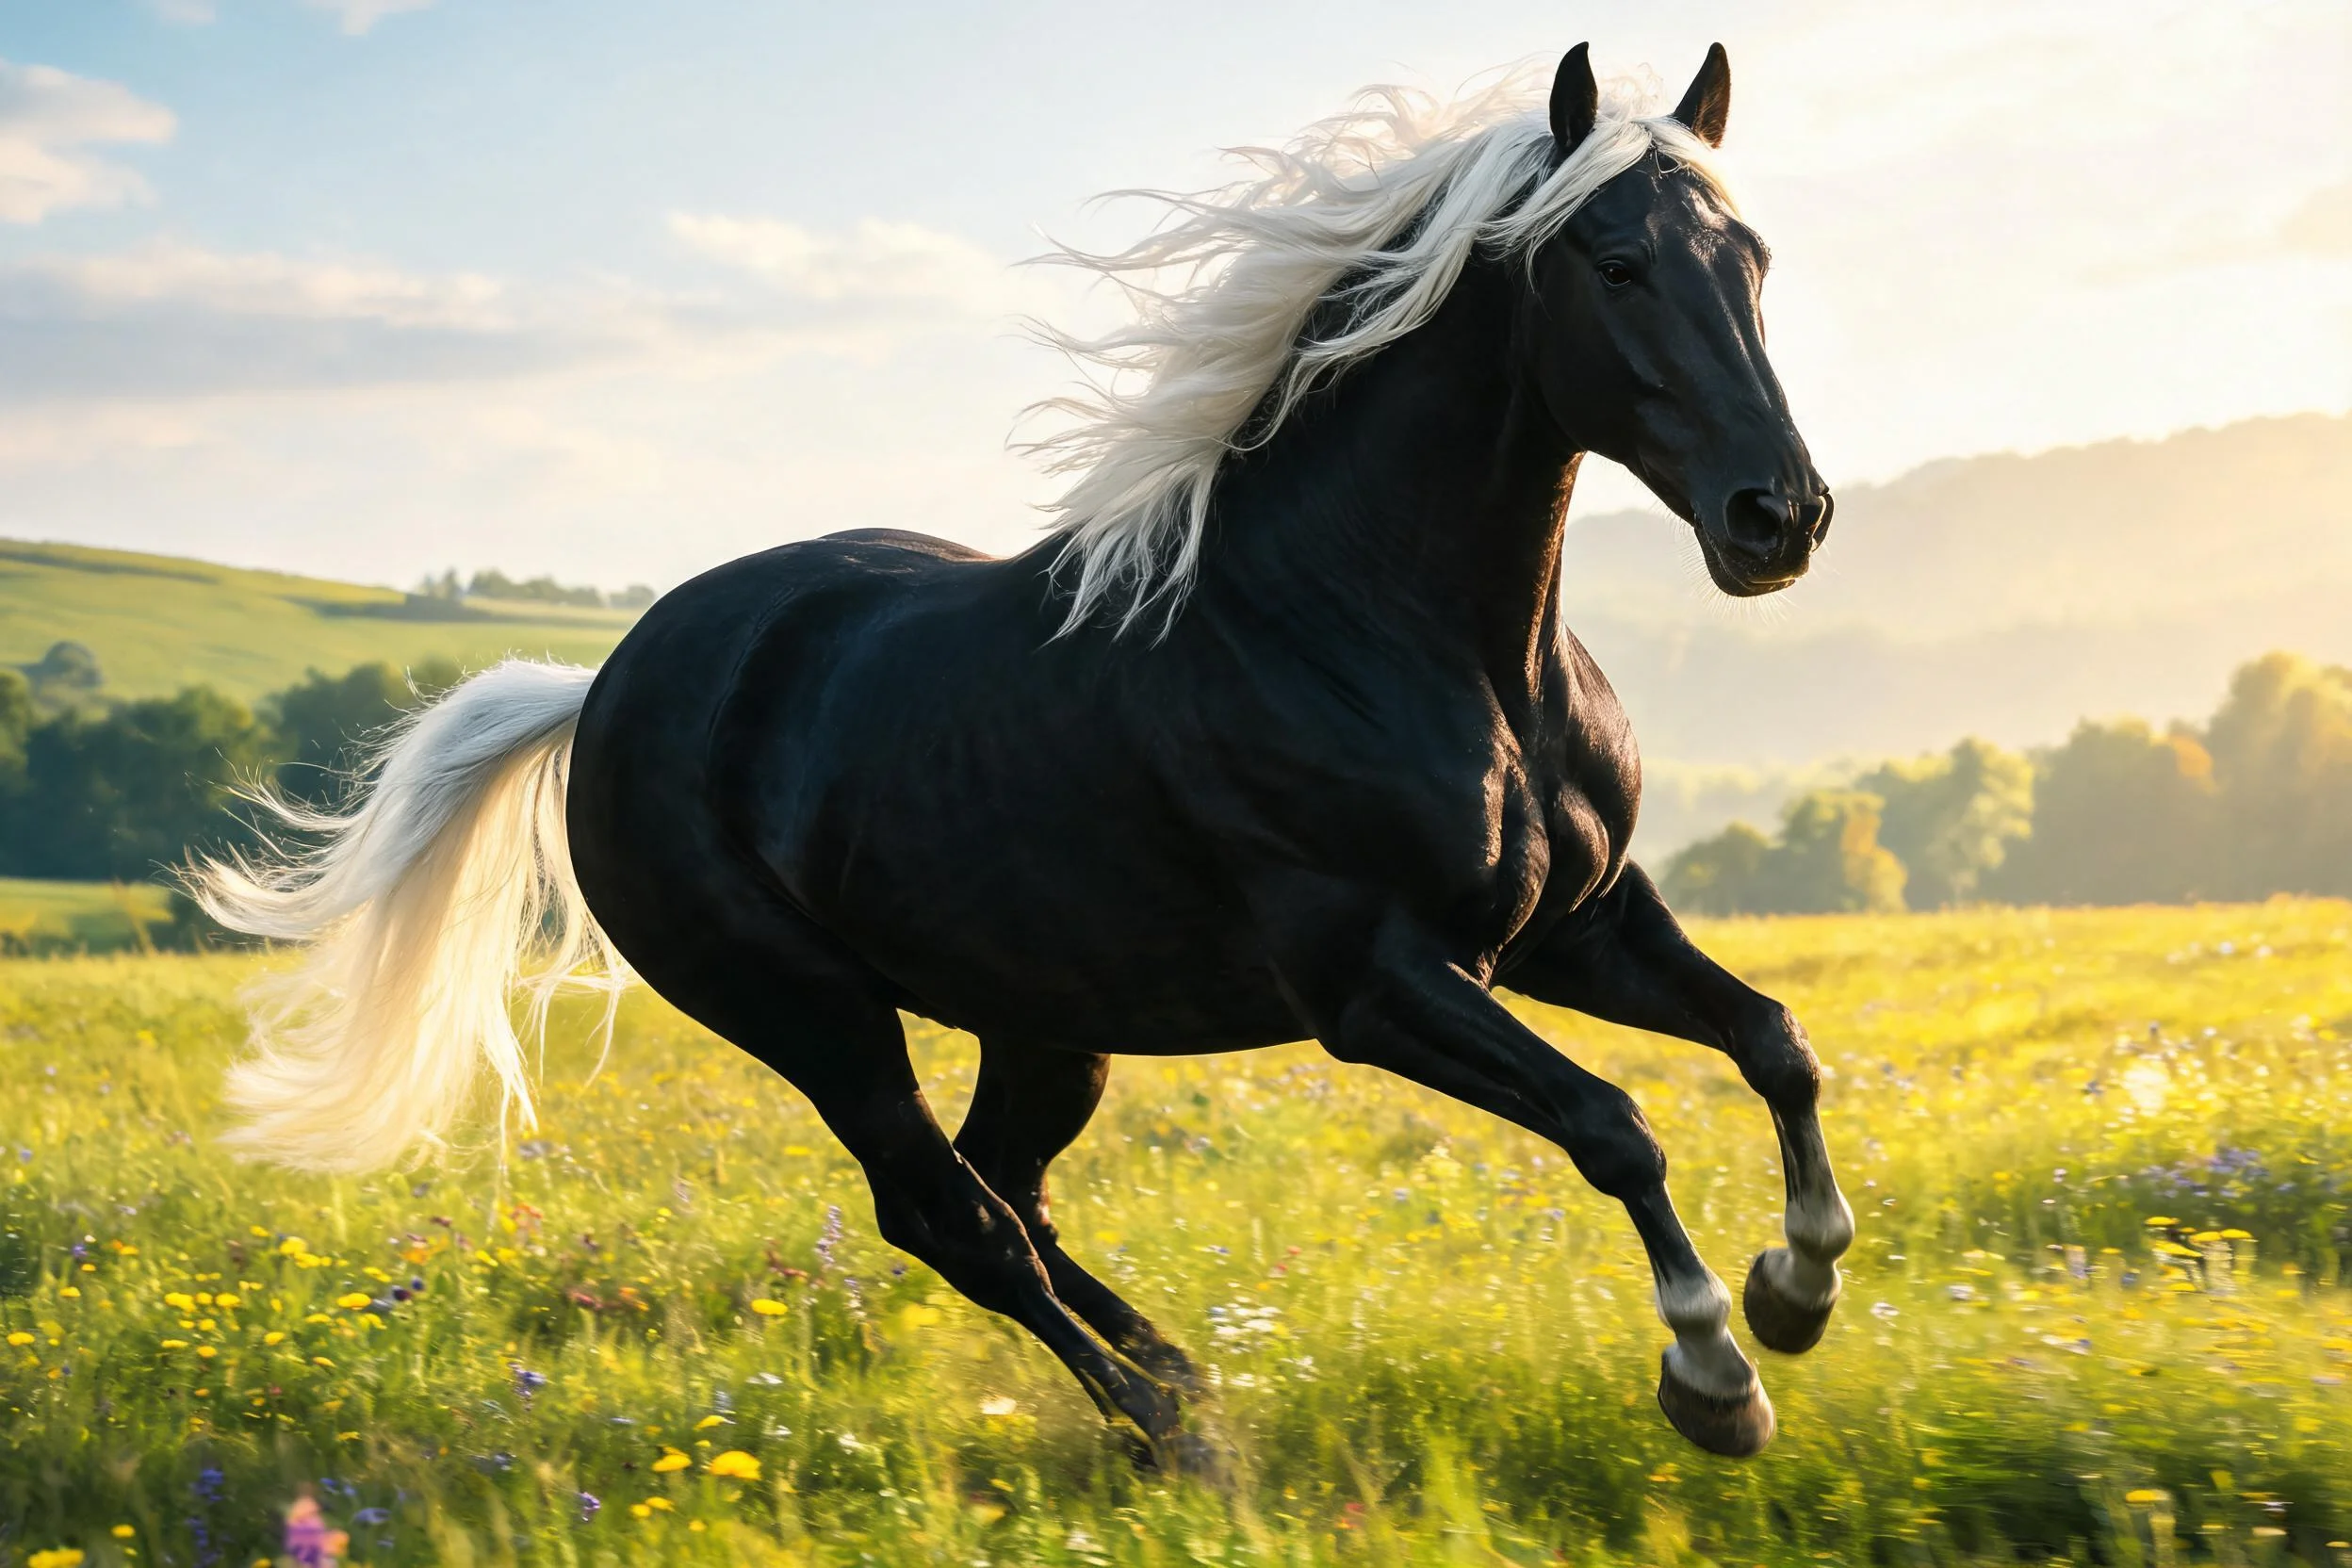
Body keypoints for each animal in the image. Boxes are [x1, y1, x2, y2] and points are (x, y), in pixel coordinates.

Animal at [195, 42, 1853, 1465]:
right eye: (1616, 264)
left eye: (1759, 262)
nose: (1781, 516)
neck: (1399, 635)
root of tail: (604, 686)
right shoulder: (1376, 983)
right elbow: (1613, 1126)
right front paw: (1717, 1377)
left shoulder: (1578, 923)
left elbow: (1774, 1039)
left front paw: (1802, 1288)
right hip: (816, 1018)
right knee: (953, 1220)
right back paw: (1175, 1431)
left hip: (1048, 1021)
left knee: (1015, 1195)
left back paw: (1189, 1377)